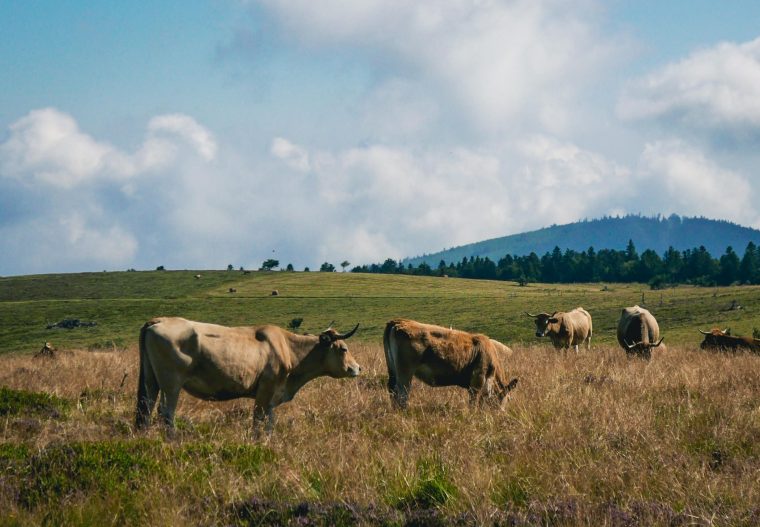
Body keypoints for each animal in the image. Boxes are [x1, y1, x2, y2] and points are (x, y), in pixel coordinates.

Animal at [135, 318, 360, 438]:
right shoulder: (265, 390)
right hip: (171, 384)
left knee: (146, 409)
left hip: (151, 382)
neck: (288, 348)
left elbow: (269, 422)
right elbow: (258, 420)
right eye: (343, 348)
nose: (358, 367)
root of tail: (160, 320)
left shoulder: (272, 397)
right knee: (166, 412)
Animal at [382, 320, 520, 410]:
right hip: (405, 371)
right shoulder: (477, 379)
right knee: (402, 392)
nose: (501, 413)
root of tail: (398, 321)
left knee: (392, 389)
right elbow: (474, 401)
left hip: (393, 369)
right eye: (507, 399)